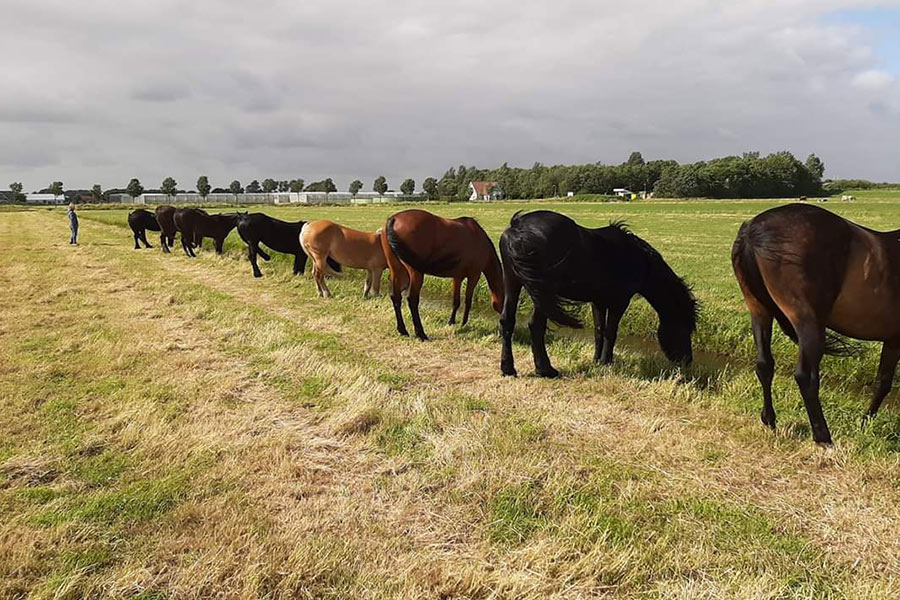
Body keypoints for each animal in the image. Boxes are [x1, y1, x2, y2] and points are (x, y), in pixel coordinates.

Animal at [381, 209, 504, 340]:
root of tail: (394, 219)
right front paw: (464, 323)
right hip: (415, 273)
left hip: (396, 269)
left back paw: (403, 330)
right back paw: (421, 334)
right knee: (412, 300)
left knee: (395, 297)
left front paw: (452, 322)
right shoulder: (474, 275)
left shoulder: (457, 277)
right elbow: (468, 301)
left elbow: (456, 301)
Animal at [499, 210, 697, 378]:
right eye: (685, 329)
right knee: (536, 326)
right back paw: (546, 370)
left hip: (513, 283)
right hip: (543, 293)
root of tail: (518, 227)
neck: (639, 258)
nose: (687, 361)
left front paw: (596, 360)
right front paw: (606, 362)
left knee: (507, 321)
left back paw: (508, 369)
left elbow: (599, 330)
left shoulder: (598, 302)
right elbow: (611, 332)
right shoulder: (620, 301)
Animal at [733, 203, 900, 445]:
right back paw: (823, 436)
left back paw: (770, 420)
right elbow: (884, 383)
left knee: (764, 364)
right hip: (809, 323)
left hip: (759, 310)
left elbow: (882, 382)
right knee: (806, 376)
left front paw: (864, 425)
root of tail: (752, 231)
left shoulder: (892, 339)